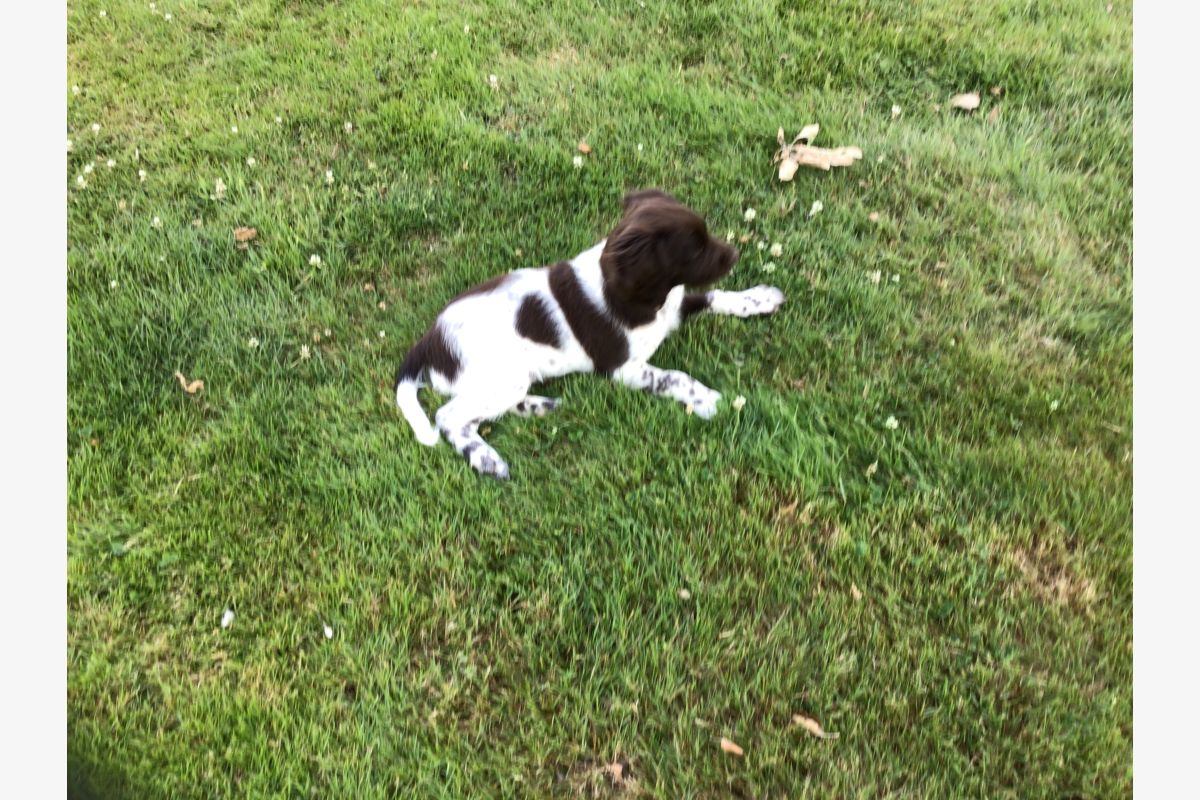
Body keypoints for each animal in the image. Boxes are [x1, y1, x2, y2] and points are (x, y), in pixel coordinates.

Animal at [396, 190, 787, 479]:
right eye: (695, 249)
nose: (735, 254)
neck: (646, 299)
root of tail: (428, 340)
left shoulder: (674, 307)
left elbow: (718, 296)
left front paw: (761, 297)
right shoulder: (622, 367)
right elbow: (674, 377)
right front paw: (707, 399)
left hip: (507, 382)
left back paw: (539, 406)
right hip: (501, 378)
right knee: (449, 417)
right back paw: (485, 458)